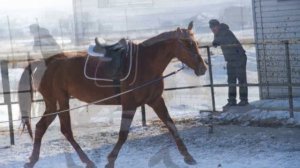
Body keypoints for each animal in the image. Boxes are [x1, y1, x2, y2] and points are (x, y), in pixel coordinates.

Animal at [19, 22, 207, 168]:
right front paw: (110, 160)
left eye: (196, 43)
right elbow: (123, 134)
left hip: (53, 104)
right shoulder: (129, 105)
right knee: (66, 131)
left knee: (41, 127)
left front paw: (188, 156)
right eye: (187, 43)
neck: (146, 63)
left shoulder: (155, 100)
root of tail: (45, 62)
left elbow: (171, 126)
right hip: (60, 101)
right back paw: (87, 161)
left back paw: (32, 160)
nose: (203, 68)